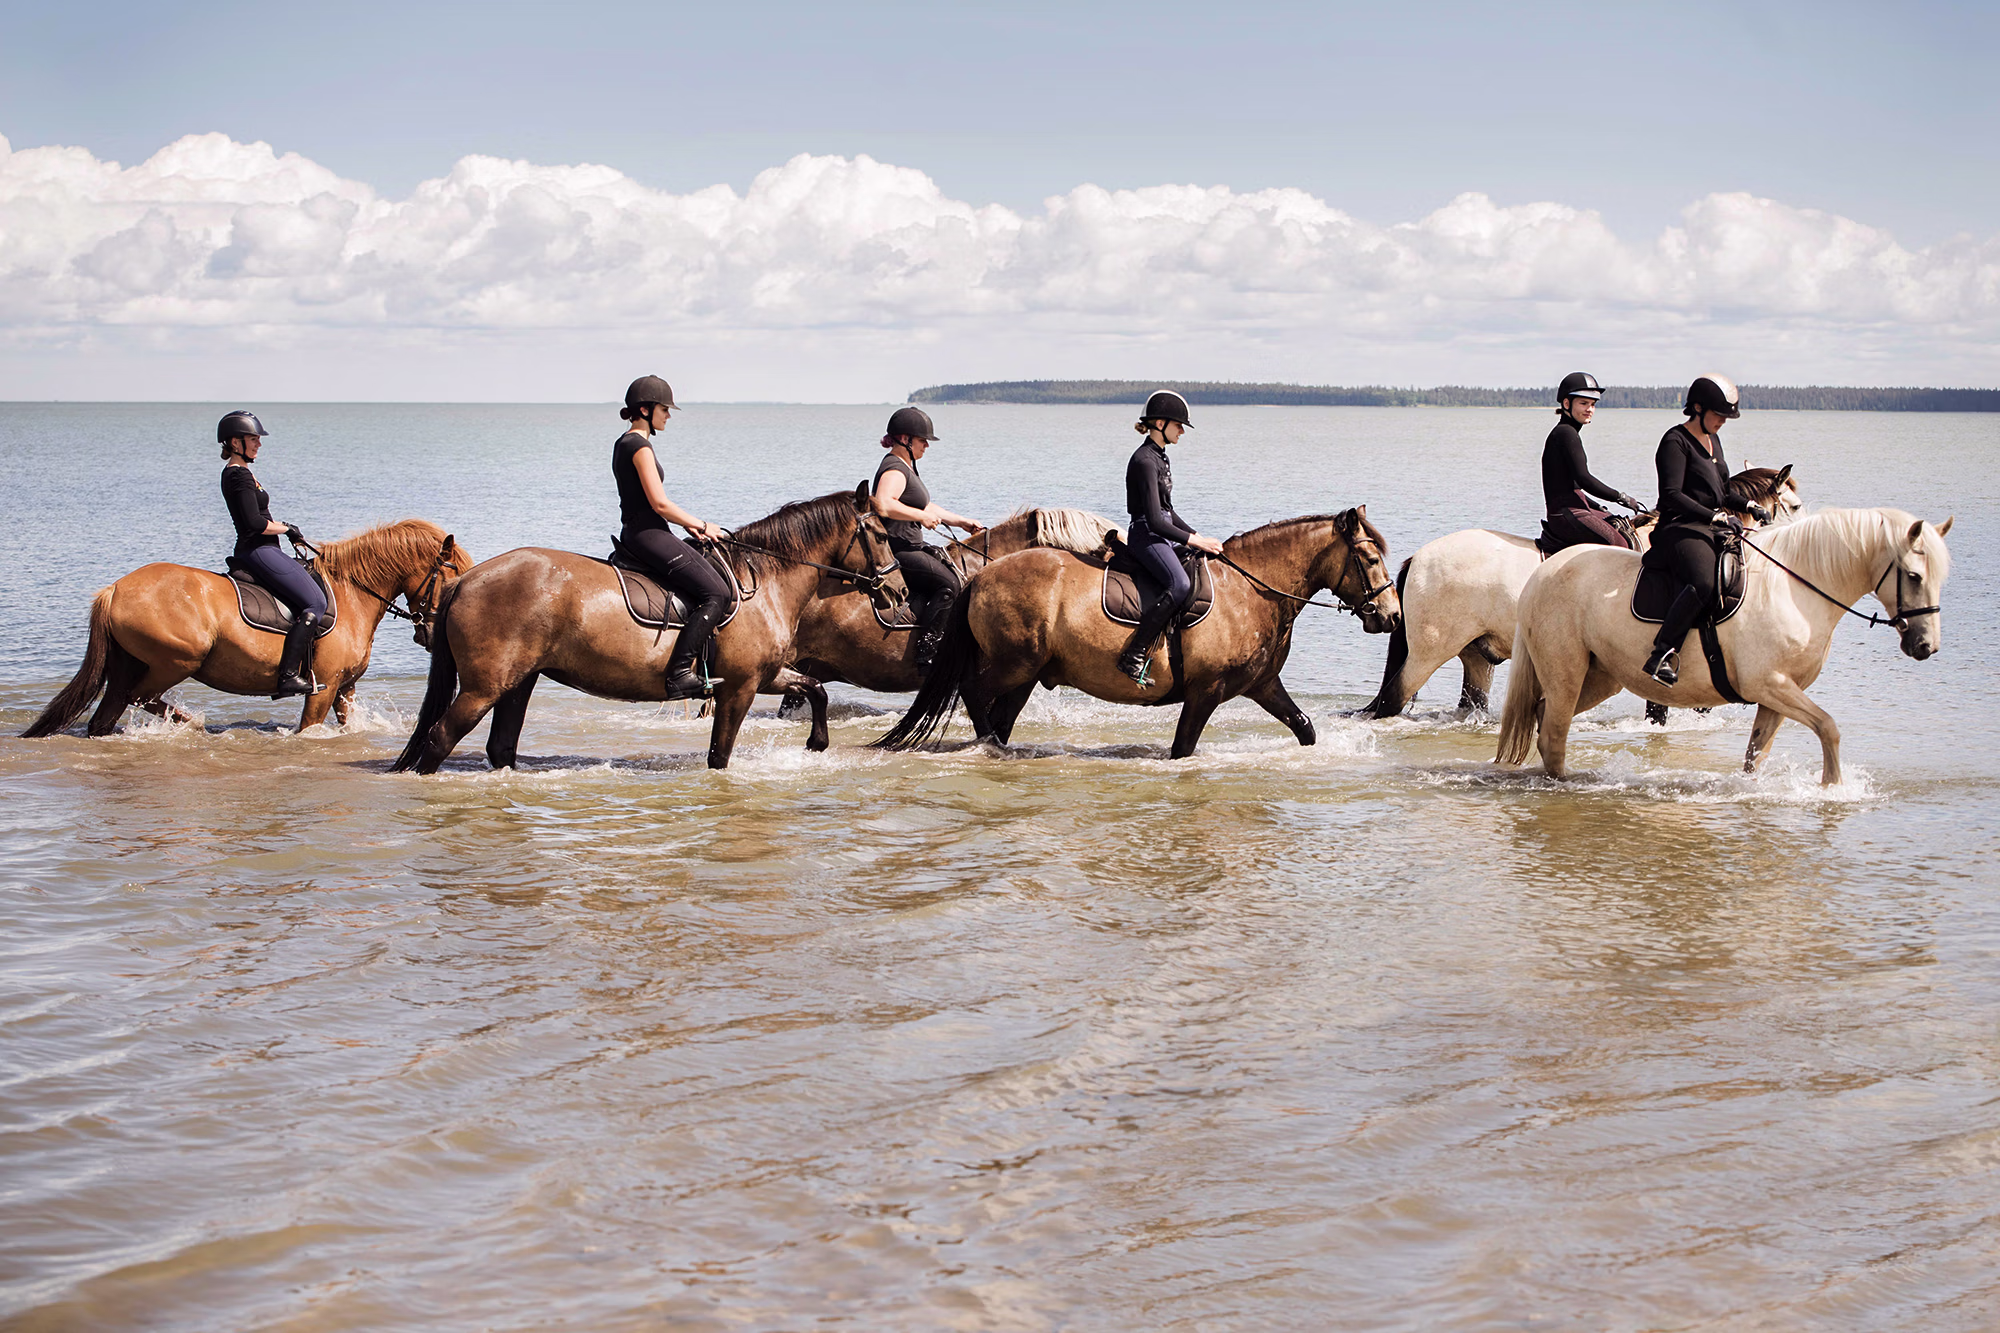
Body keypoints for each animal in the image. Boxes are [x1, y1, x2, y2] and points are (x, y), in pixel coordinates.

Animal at [22, 519, 470, 738]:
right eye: (451, 577)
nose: (434, 635)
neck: (351, 594)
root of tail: (114, 589)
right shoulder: (321, 689)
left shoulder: (345, 689)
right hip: (176, 661)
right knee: (142, 697)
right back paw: (193, 724)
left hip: (129, 665)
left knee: (108, 715)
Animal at [390, 486, 905, 774]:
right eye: (881, 535)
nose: (900, 591)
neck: (765, 581)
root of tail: (464, 580)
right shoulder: (739, 687)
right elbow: (720, 756)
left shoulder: (764, 676)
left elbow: (815, 687)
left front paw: (817, 743)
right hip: (484, 686)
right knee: (440, 739)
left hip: (519, 681)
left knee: (500, 747)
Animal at [876, 508, 1400, 759]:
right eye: (1370, 557)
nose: (1392, 617)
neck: (1251, 590)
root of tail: (982, 575)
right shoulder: (1206, 691)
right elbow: (1183, 749)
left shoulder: (1263, 685)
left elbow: (1304, 728)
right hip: (1013, 664)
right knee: (973, 693)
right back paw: (987, 745)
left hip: (1024, 673)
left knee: (998, 714)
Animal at [1494, 508, 1953, 785]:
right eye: (1914, 576)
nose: (1926, 646)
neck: (1796, 586)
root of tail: (1543, 573)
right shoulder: (1768, 684)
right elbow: (1829, 727)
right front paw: (1833, 788)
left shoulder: (1777, 694)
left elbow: (1756, 754)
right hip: (1566, 673)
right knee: (1554, 734)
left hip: (1599, 678)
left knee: (1544, 719)